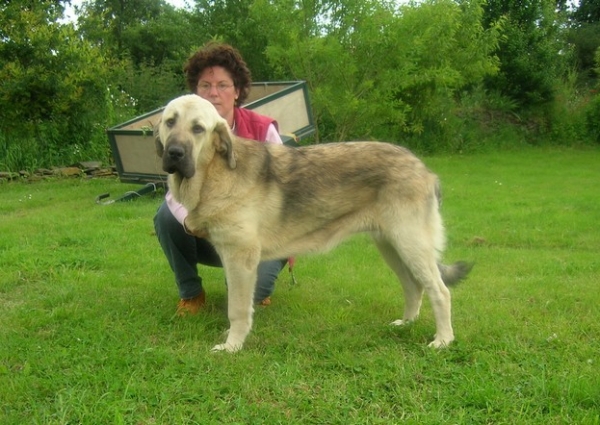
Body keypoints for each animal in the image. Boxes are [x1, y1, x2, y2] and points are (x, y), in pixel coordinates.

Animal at [156, 95, 474, 352]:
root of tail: (423, 168)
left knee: (440, 291)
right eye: (170, 122)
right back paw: (406, 323)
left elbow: (237, 310)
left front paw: (232, 346)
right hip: (391, 247)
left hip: (410, 244)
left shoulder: (240, 261)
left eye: (198, 128)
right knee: (413, 287)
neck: (214, 171)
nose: (174, 153)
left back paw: (443, 340)